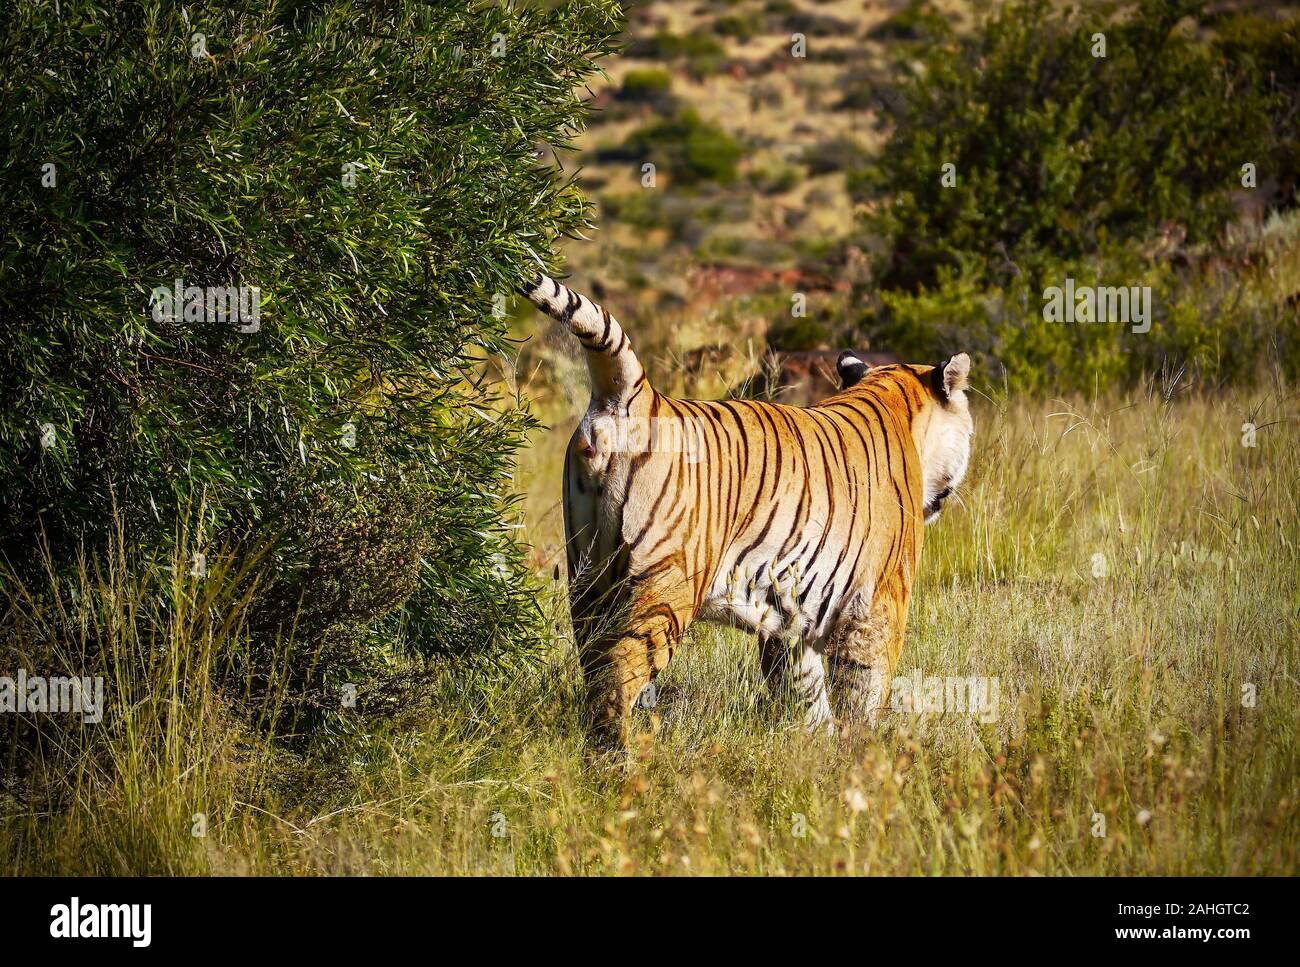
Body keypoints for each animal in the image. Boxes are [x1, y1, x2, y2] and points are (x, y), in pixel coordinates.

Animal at [523, 273, 974, 747]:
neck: (890, 399)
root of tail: (636, 393)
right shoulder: (880, 601)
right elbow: (865, 691)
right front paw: (862, 749)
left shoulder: (791, 617)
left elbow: (804, 690)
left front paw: (818, 746)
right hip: (663, 590)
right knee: (616, 684)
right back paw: (621, 758)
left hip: (588, 578)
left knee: (593, 672)